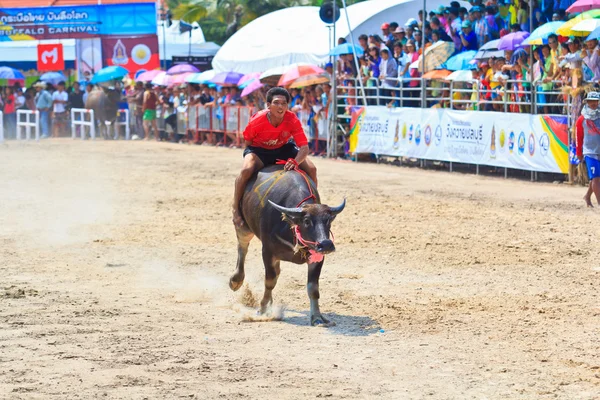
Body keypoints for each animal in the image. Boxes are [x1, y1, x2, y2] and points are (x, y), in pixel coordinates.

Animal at [227, 165, 344, 324]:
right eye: (307, 221)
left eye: (328, 221)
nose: (325, 244)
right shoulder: (267, 251)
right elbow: (269, 281)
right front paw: (263, 310)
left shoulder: (317, 257)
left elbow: (313, 288)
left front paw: (317, 317)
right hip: (243, 227)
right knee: (242, 248)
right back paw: (236, 280)